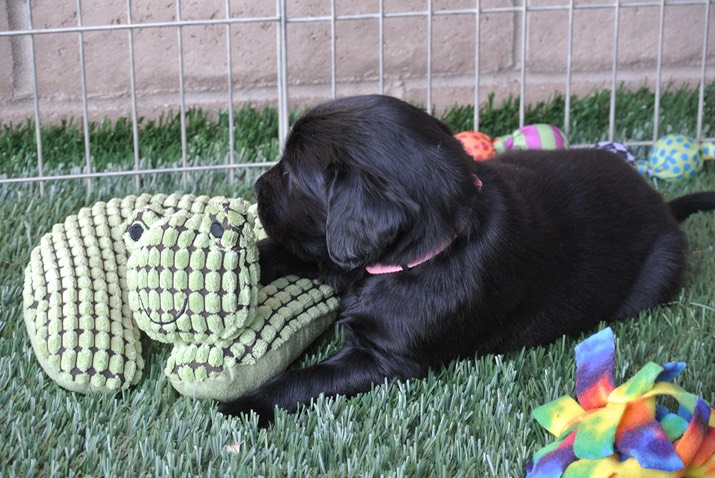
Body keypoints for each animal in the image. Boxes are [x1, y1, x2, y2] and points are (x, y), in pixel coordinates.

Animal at [218, 94, 715, 426]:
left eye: (289, 173)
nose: (256, 187)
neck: (430, 250)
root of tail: (663, 207)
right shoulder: (334, 257)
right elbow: (283, 250)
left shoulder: (386, 360)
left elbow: (306, 380)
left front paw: (244, 405)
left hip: (659, 272)